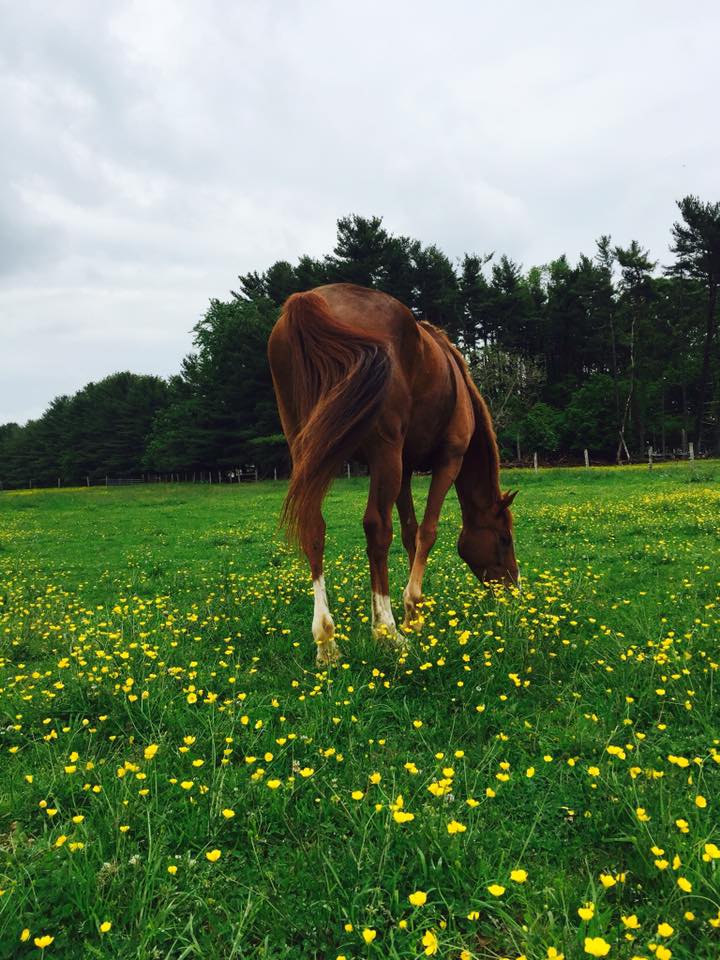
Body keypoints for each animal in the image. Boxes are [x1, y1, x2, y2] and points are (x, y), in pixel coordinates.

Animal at [268, 282, 519, 665]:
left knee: (314, 527)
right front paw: (412, 610)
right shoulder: (447, 459)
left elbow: (410, 532)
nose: (514, 589)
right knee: (376, 528)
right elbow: (426, 532)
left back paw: (326, 641)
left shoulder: (405, 465)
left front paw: (415, 614)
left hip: (309, 450)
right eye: (504, 538)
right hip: (383, 454)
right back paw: (386, 630)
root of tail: (308, 301)